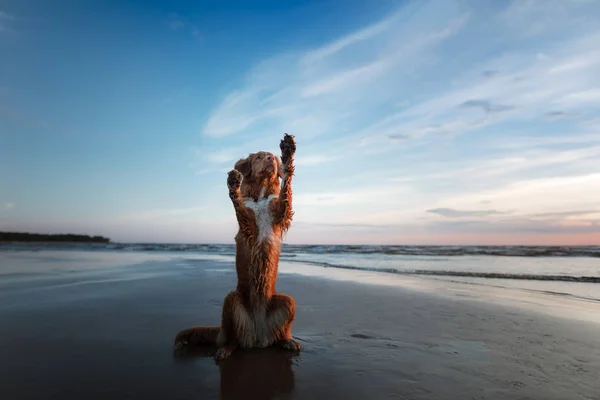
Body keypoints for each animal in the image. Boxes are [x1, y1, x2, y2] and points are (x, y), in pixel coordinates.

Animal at [175, 133, 302, 360]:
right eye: (259, 156)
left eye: (272, 156)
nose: (271, 158)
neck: (260, 194)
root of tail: (258, 337)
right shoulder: (248, 226)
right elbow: (240, 207)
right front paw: (234, 184)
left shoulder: (280, 213)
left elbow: (287, 188)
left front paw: (288, 153)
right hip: (232, 300)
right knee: (234, 339)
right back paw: (226, 350)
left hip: (288, 301)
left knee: (282, 332)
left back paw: (288, 341)